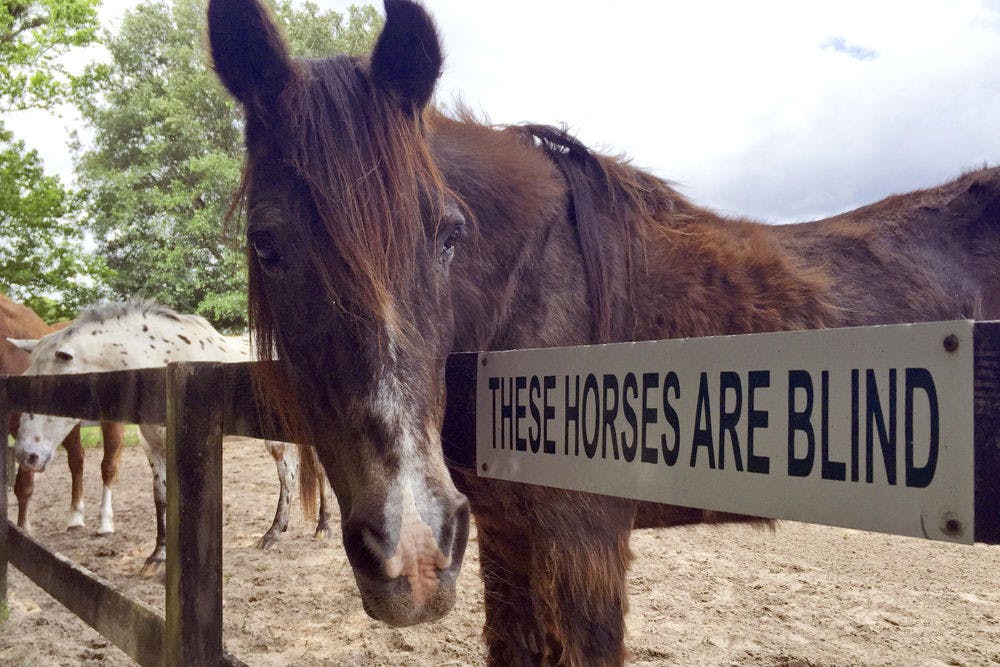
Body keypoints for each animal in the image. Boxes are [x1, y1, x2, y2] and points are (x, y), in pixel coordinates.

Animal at [1, 293, 125, 535]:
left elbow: (24, 486)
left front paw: (24, 529)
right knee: (77, 461)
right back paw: (75, 517)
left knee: (108, 467)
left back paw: (105, 522)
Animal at [11, 300, 333, 574]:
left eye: (56, 390)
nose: (26, 455)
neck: (160, 364)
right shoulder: (153, 447)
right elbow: (161, 497)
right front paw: (157, 556)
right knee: (291, 473)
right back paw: (279, 532)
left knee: (311, 471)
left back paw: (317, 527)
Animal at [208, 0, 1000, 663]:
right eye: (267, 245)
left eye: (448, 234)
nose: (412, 556)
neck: (528, 290)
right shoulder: (506, 536)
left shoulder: (584, 542)